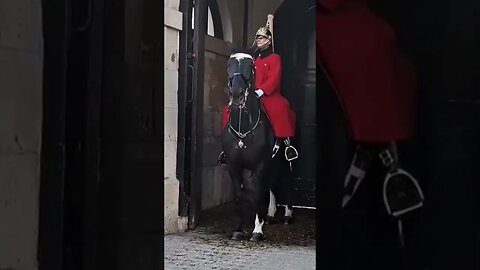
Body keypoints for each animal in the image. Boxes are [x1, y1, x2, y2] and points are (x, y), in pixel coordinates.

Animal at [222, 48, 276, 240]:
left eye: (251, 66)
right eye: (229, 65)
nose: (237, 94)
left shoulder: (261, 164)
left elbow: (258, 194)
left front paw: (257, 230)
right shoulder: (233, 165)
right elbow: (238, 195)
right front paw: (238, 229)